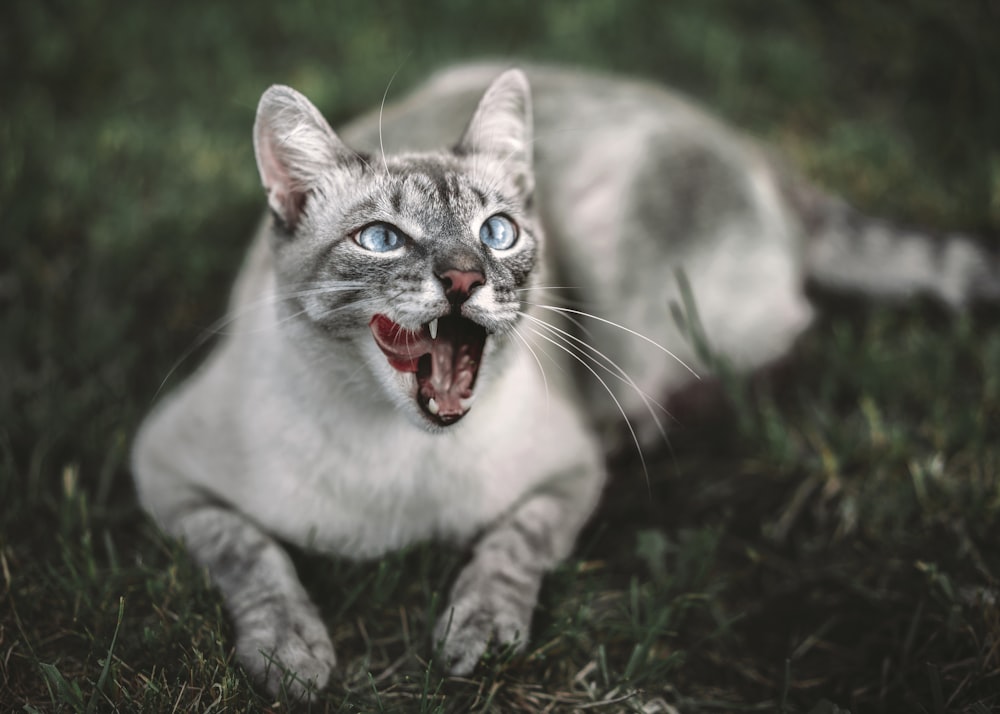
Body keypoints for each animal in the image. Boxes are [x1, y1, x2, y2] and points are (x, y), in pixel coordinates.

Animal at [133, 61, 1000, 696]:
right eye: (381, 239)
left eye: (497, 232)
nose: (464, 278)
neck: (397, 468)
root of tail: (761, 153)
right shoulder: (162, 469)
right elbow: (252, 555)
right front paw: (292, 656)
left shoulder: (569, 472)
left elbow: (512, 548)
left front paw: (479, 636)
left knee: (779, 344)